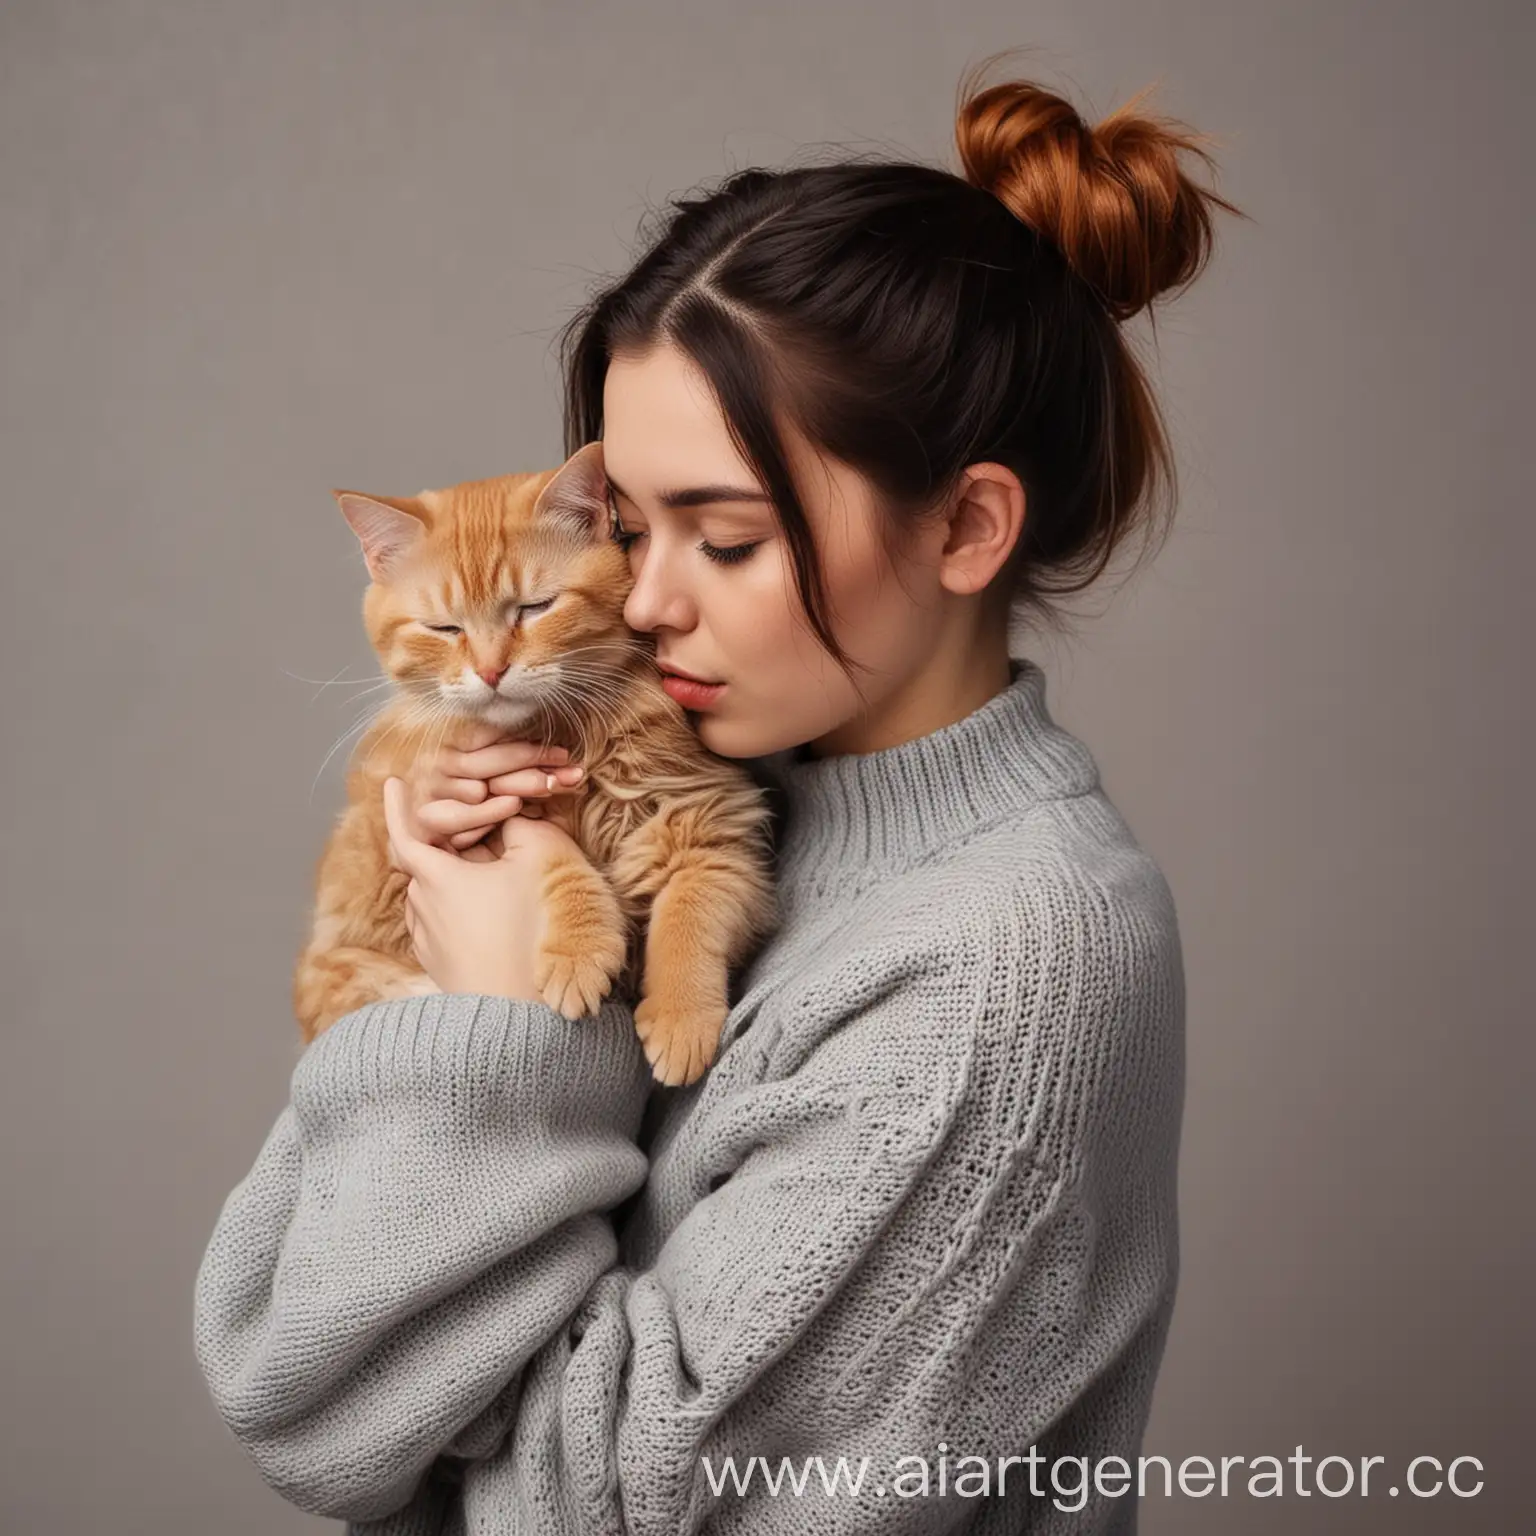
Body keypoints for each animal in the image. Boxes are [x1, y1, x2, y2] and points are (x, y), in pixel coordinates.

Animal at [294, 442, 780, 1093]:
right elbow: (556, 858)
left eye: (535, 608)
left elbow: (692, 910)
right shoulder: (482, 820)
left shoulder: (715, 828)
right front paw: (578, 953)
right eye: (445, 628)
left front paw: (681, 1019)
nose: (491, 670)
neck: (574, 739)